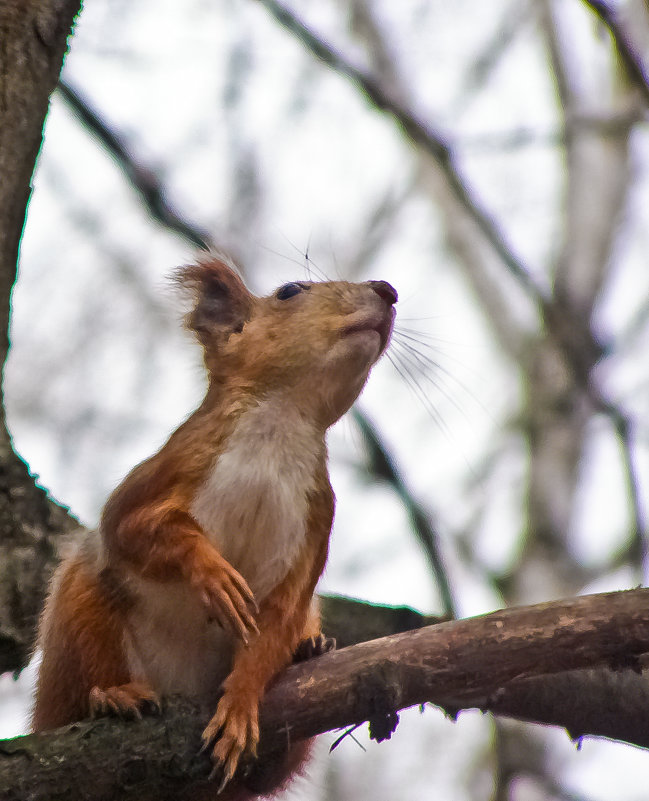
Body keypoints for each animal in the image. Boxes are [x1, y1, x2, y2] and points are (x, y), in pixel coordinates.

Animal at [33, 255, 398, 792]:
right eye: (290, 291)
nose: (387, 290)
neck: (281, 425)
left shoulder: (317, 519)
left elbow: (279, 618)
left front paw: (241, 706)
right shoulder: (171, 470)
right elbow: (131, 528)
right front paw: (212, 573)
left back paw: (308, 648)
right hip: (82, 616)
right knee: (84, 676)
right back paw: (111, 697)